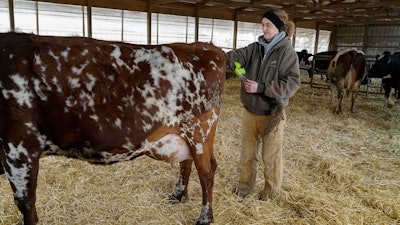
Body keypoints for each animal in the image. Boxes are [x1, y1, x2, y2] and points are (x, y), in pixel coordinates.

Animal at [0, 32, 225, 225]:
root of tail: (205, 47)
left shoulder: (18, 148)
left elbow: (25, 201)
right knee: (186, 163)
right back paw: (178, 195)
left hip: (199, 130)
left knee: (207, 171)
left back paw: (204, 218)